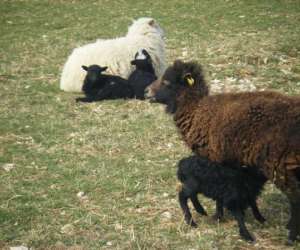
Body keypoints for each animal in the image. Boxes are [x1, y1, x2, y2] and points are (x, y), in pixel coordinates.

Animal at [145, 59, 300, 243]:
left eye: (167, 82)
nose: (146, 91)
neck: (196, 110)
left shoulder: (214, 158)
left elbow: (220, 192)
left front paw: (218, 215)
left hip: (281, 166)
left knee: (295, 199)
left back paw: (291, 236)